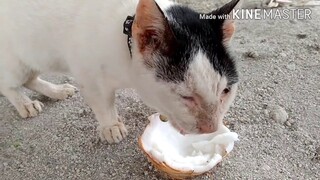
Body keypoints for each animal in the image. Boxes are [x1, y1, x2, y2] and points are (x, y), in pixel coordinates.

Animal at [0, 0, 240, 143]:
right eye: (185, 96)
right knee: (8, 83)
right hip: (15, 57)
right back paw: (25, 103)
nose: (210, 128)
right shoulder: (89, 75)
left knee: (30, 78)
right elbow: (103, 103)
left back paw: (56, 91)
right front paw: (111, 126)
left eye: (225, 91)